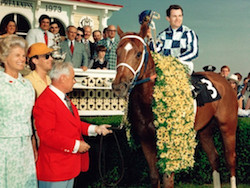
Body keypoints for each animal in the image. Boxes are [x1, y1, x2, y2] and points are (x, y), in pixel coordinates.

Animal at [112, 23, 237, 188]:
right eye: (117, 52)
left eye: (138, 54)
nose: (118, 86)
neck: (148, 100)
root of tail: (225, 82)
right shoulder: (146, 140)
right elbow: (154, 177)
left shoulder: (170, 143)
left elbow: (167, 180)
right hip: (205, 130)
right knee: (214, 158)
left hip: (228, 126)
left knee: (230, 159)